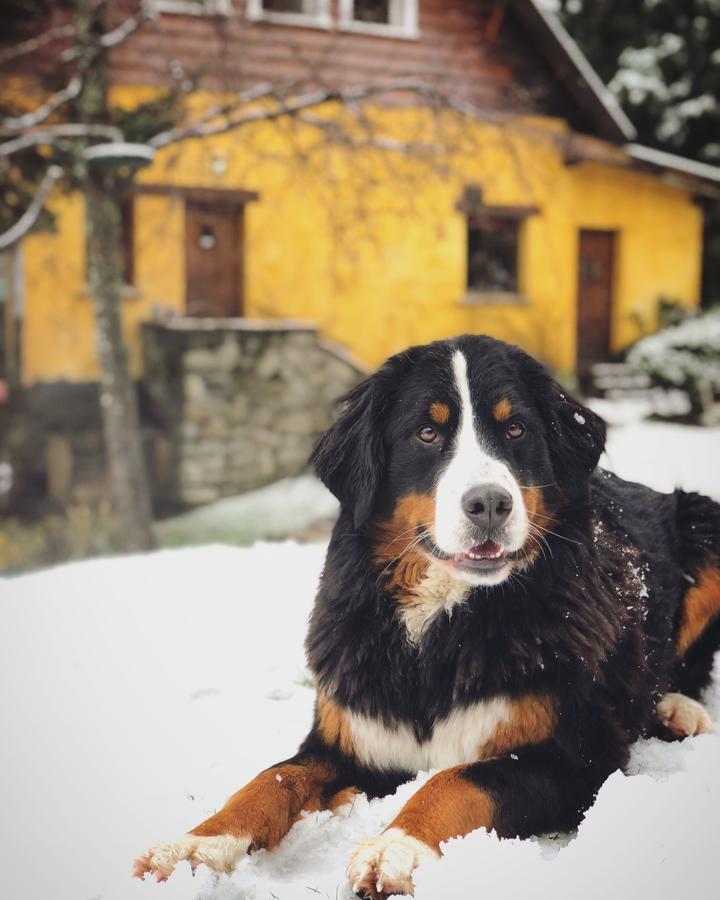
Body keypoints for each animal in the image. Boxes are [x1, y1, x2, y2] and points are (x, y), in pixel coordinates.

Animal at [131, 334, 720, 896]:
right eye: (427, 434)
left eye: (516, 429)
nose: (490, 504)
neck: (438, 627)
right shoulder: (345, 738)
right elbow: (266, 783)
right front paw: (192, 848)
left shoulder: (576, 756)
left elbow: (456, 781)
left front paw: (394, 848)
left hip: (703, 521)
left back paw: (678, 710)